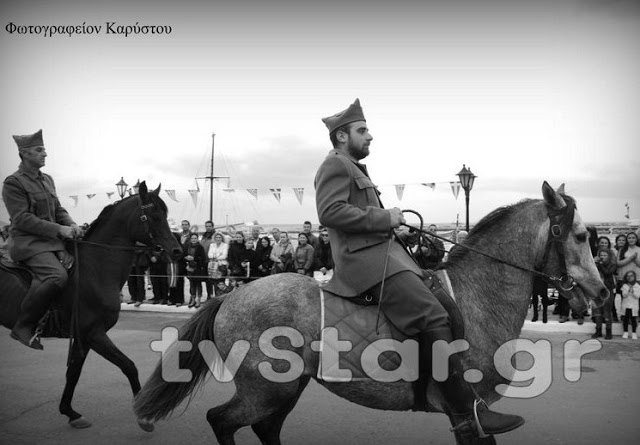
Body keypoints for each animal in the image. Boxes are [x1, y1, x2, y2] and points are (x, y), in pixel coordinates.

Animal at [1, 181, 181, 430]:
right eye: (153, 215)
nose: (177, 251)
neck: (94, 270)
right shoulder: (93, 334)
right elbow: (128, 366)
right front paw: (143, 416)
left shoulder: (83, 338)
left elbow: (74, 373)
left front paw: (70, 412)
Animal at [134, 182, 604, 442]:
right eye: (581, 235)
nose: (601, 292)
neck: (476, 297)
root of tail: (229, 297)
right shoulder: (469, 417)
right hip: (264, 390)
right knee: (222, 421)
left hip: (287, 387)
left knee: (266, 429)